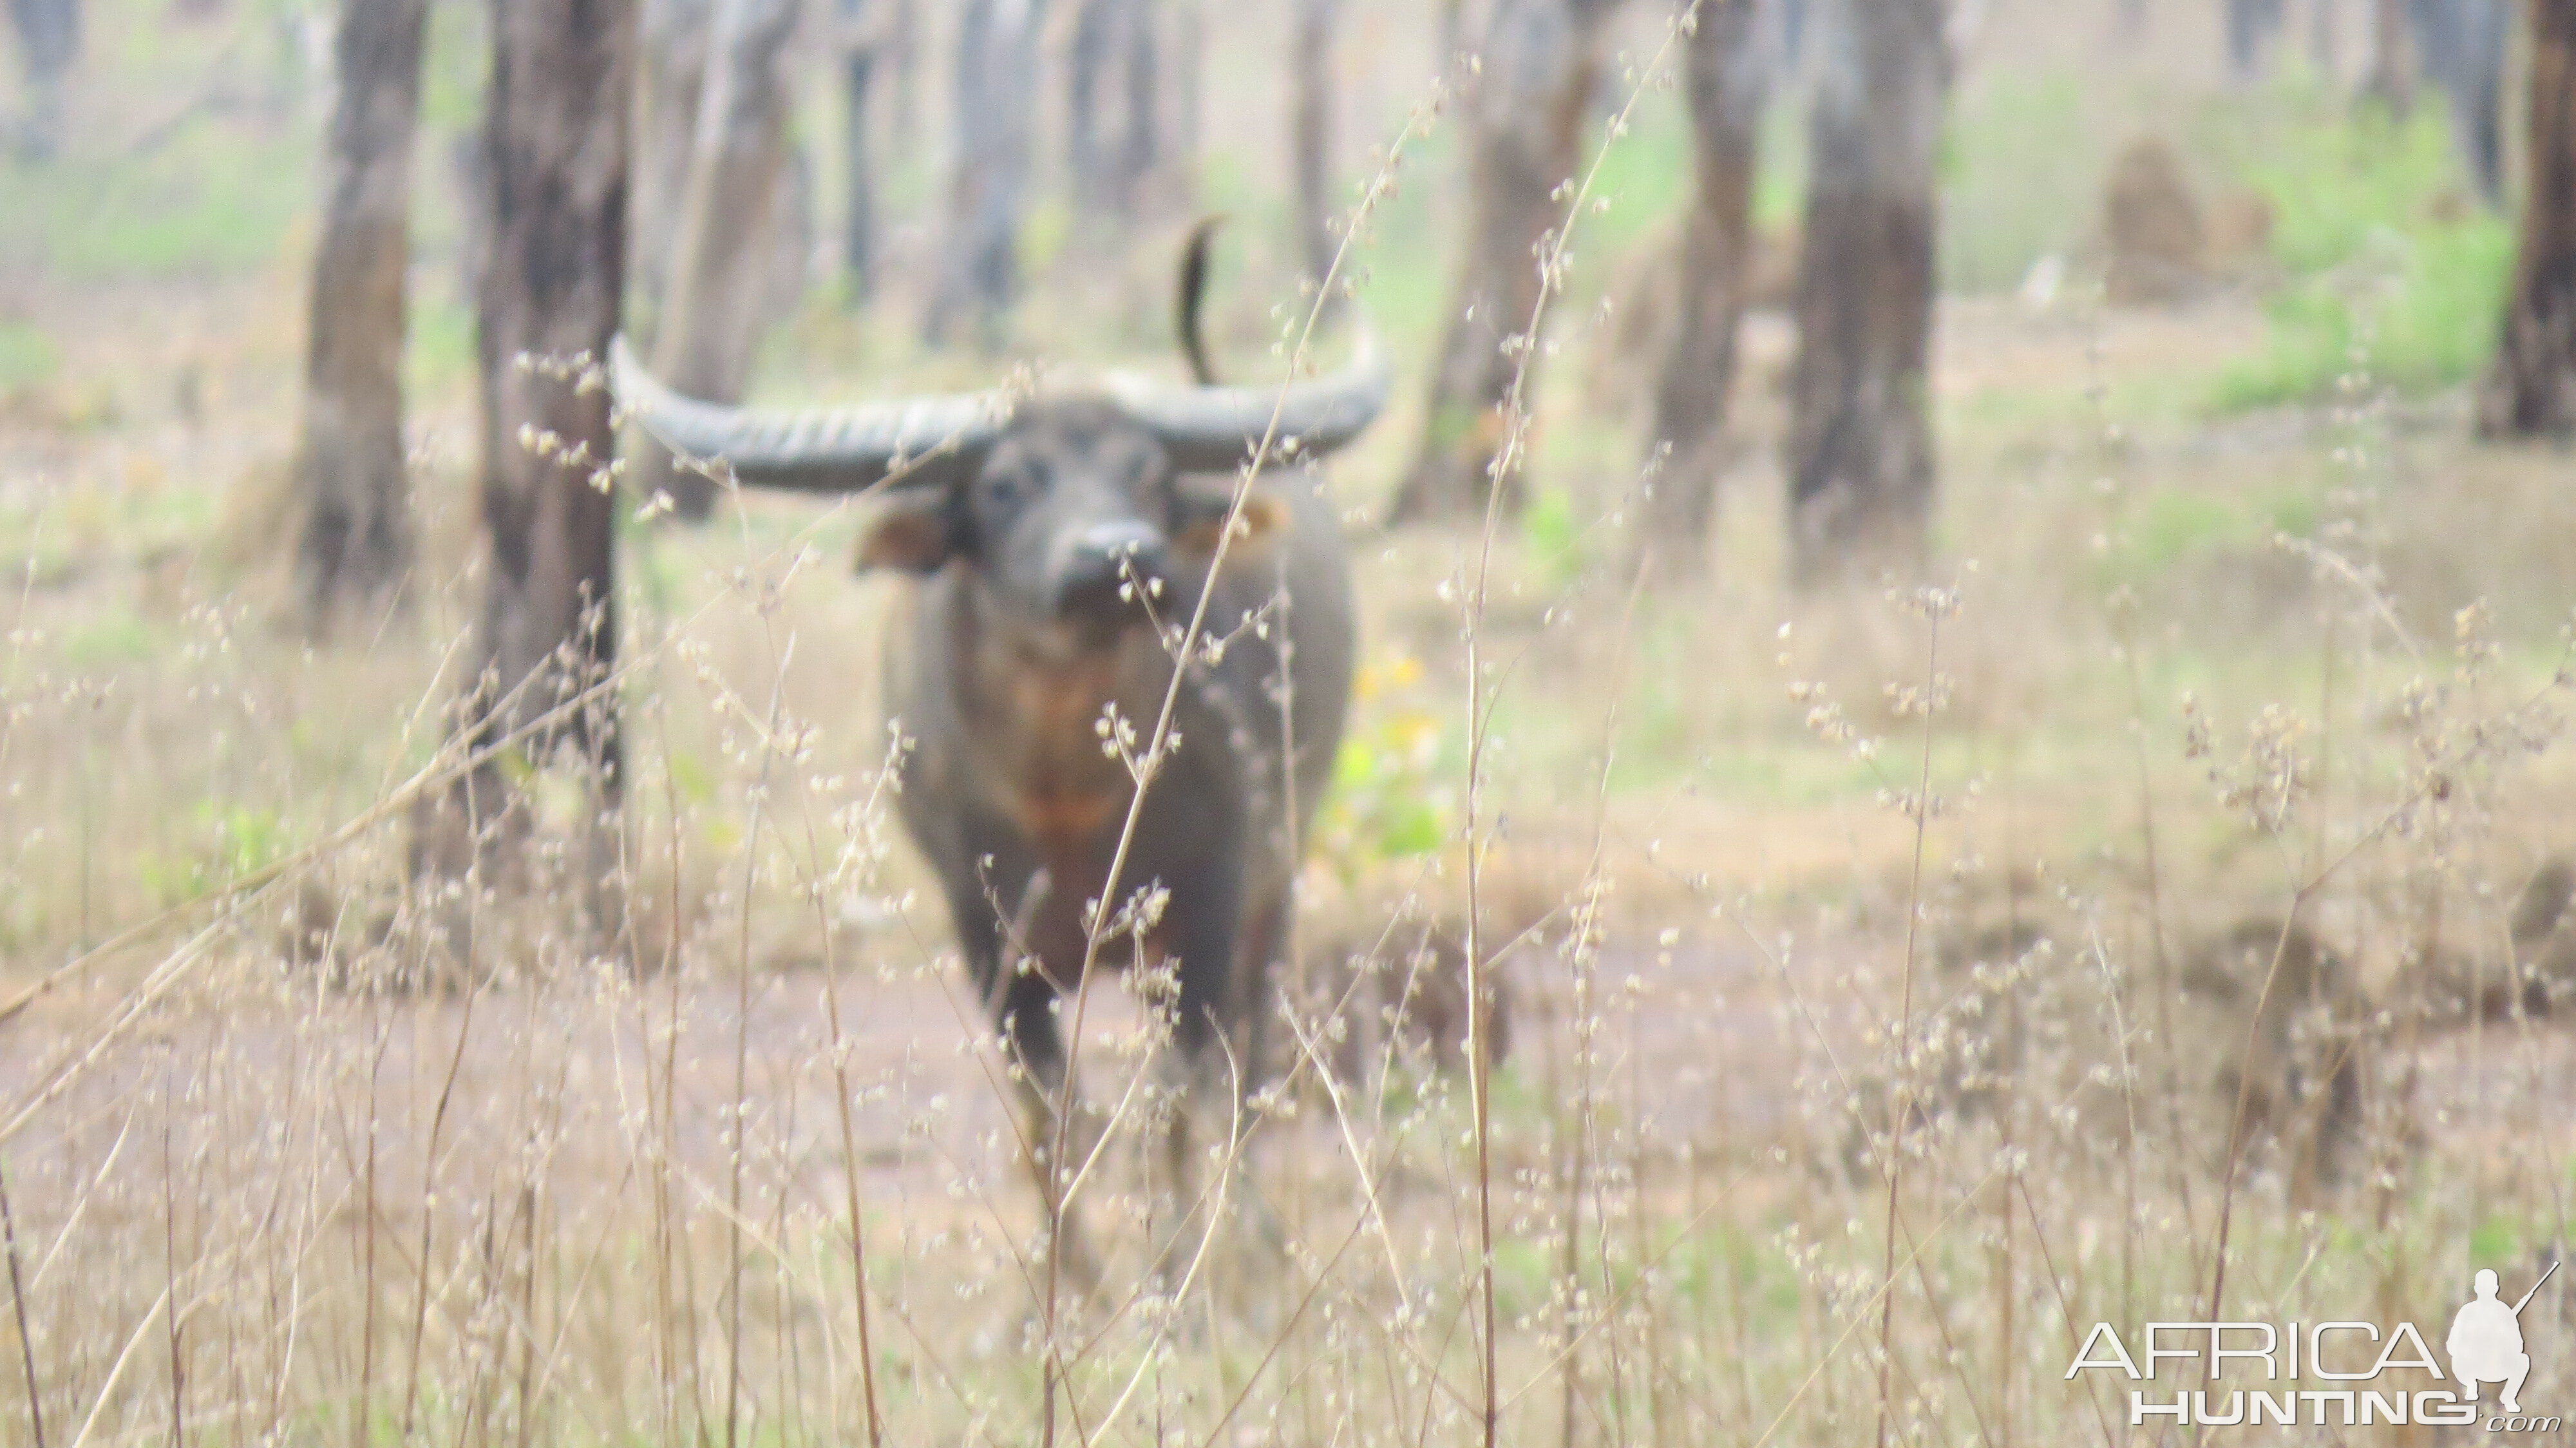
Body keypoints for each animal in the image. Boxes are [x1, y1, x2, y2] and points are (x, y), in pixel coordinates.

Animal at [616, 247, 1391, 1252]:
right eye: (1006, 485)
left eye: (1149, 476)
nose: (1119, 557)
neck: (1065, 790)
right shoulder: (986, 937)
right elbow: (1048, 1115)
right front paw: (1068, 1268)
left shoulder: (1211, 909)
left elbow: (1182, 1106)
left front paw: (1177, 1258)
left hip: (1275, 891)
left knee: (1248, 1067)